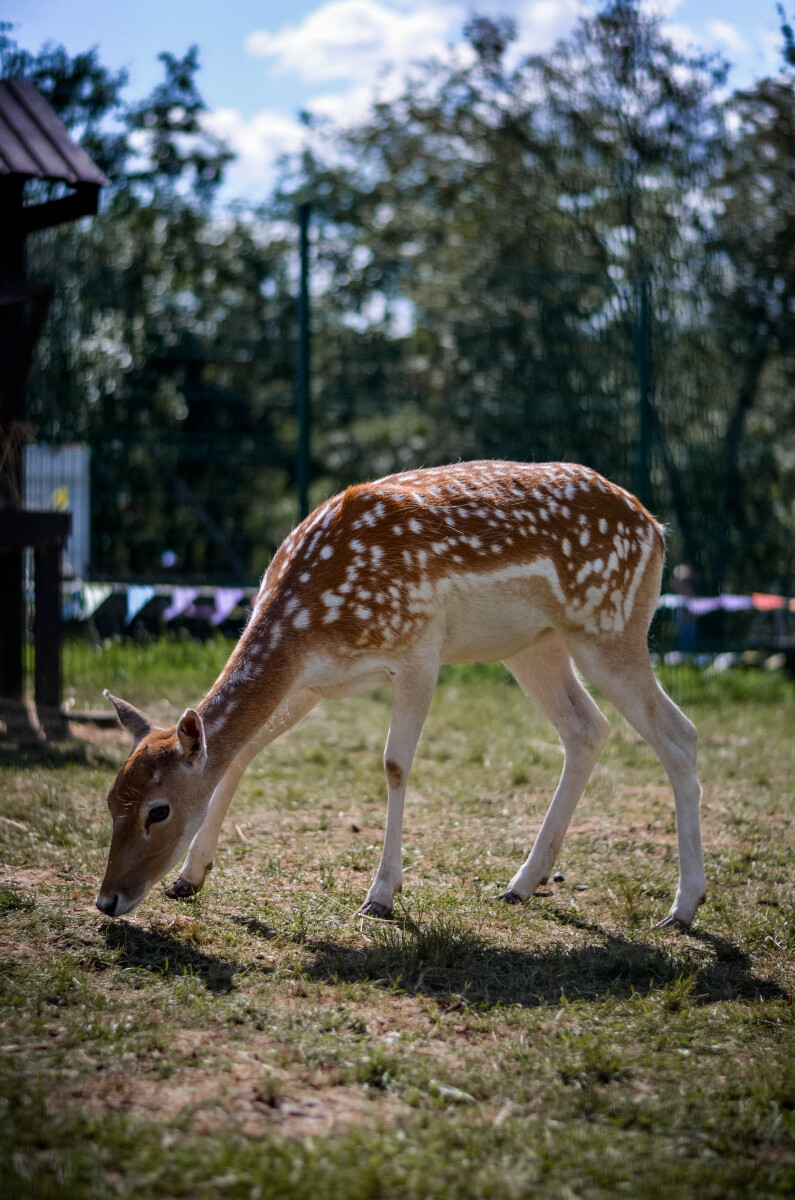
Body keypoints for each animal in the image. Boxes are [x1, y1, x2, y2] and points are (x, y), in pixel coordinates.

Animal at [96, 460, 706, 926]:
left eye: (158, 811)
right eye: (109, 800)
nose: (107, 900)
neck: (313, 623)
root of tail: (656, 529)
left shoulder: (419, 648)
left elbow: (394, 763)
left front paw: (381, 896)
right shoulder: (309, 684)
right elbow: (240, 753)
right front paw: (189, 878)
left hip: (610, 626)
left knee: (679, 733)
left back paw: (683, 907)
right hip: (534, 646)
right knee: (587, 728)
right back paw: (521, 883)